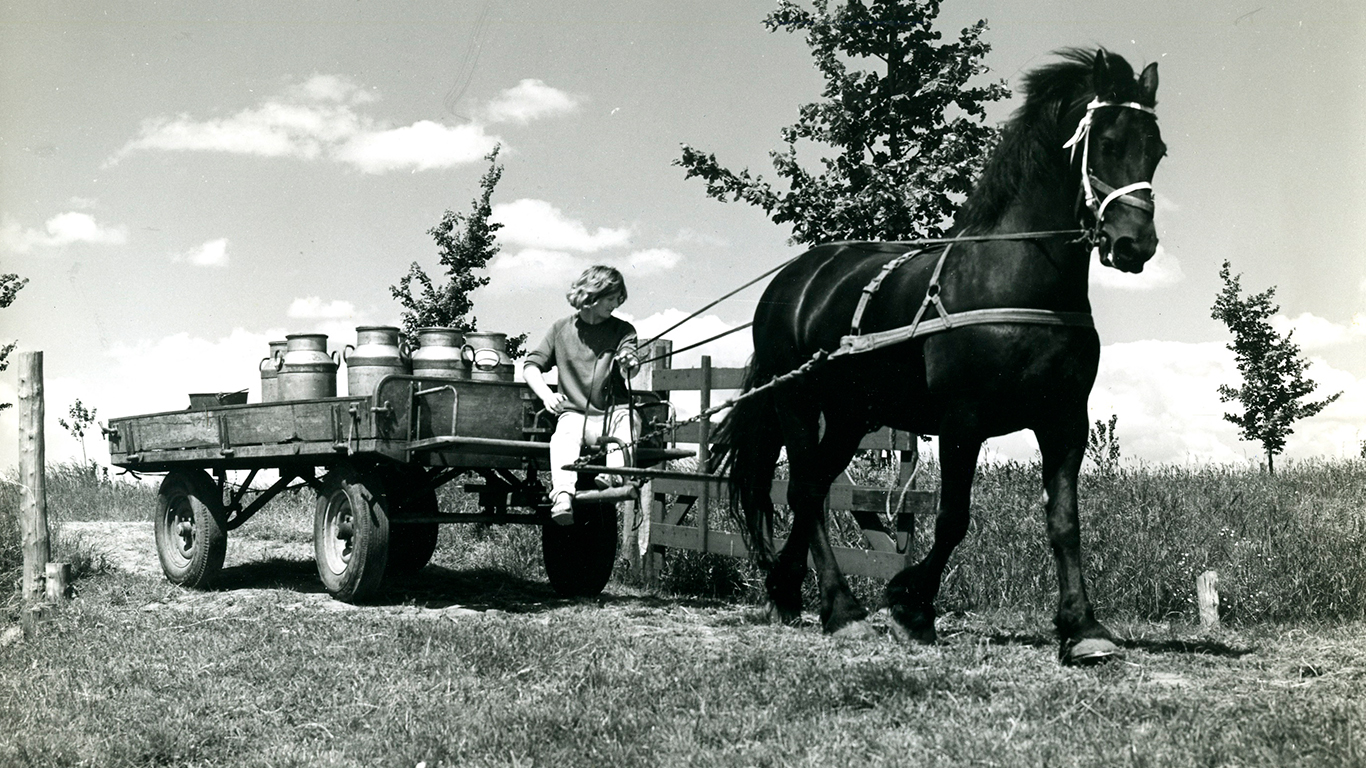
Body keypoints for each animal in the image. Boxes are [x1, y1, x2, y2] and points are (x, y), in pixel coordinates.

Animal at [709, 48, 1165, 665]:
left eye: (1157, 149)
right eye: (1110, 143)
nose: (1135, 246)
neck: (1015, 279)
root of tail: (793, 278)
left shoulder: (1065, 420)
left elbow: (1065, 522)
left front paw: (1083, 628)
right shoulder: (961, 420)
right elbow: (952, 519)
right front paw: (911, 605)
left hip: (851, 417)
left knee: (816, 490)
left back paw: (788, 590)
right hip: (797, 403)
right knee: (805, 490)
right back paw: (842, 610)